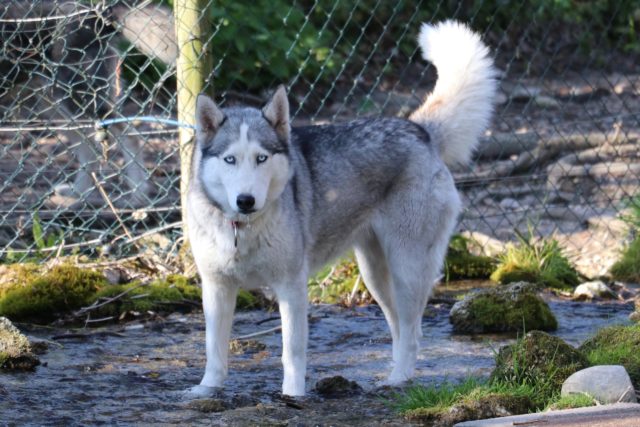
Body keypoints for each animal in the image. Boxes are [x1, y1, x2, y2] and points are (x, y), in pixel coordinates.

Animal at [188, 21, 498, 398]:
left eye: (261, 158)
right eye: (230, 159)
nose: (245, 200)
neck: (241, 229)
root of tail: (418, 129)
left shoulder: (291, 287)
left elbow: (292, 351)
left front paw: (292, 396)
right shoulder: (216, 288)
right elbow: (214, 348)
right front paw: (206, 389)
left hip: (406, 269)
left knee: (413, 331)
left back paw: (398, 380)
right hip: (375, 275)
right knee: (401, 329)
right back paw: (393, 376)